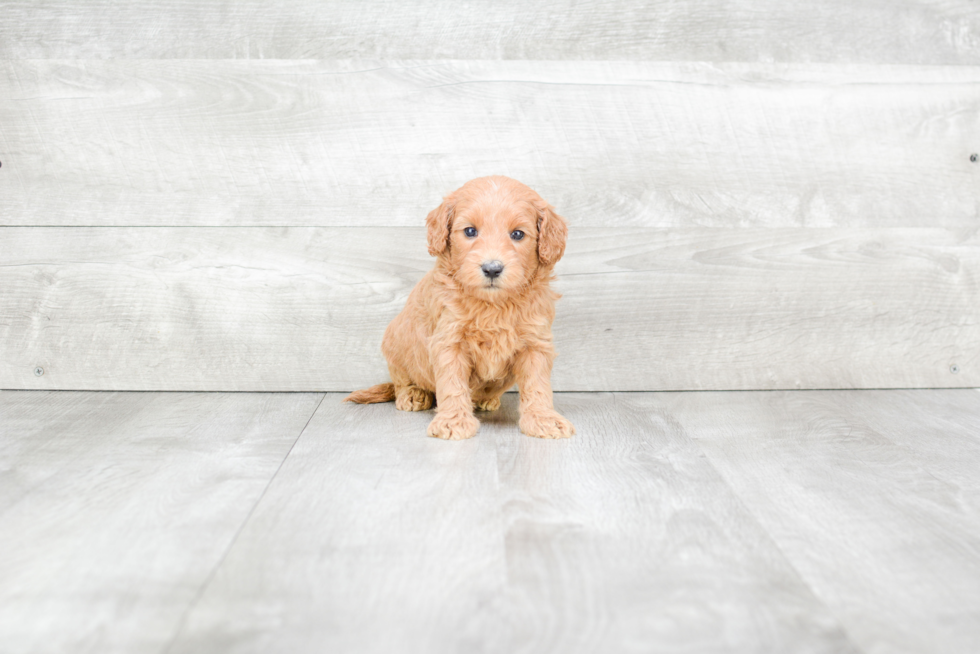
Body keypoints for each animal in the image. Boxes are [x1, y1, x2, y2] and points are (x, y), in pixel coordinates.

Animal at [344, 176, 576, 440]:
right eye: (470, 231)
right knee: (401, 379)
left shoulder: (535, 343)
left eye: (518, 234)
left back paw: (487, 399)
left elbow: (537, 385)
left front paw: (543, 419)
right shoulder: (449, 340)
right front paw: (453, 422)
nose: (492, 268)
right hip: (395, 342)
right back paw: (413, 394)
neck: (493, 305)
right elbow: (452, 384)